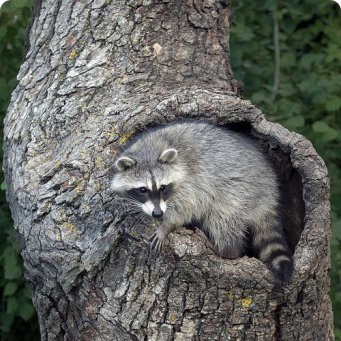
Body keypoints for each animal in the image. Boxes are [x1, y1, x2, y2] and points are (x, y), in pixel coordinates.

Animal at [111, 120, 292, 282]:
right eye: (142, 190)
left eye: (163, 187)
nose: (157, 213)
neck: (149, 150)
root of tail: (270, 191)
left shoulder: (194, 181)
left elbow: (187, 208)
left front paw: (167, 225)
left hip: (241, 189)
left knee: (223, 217)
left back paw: (226, 249)